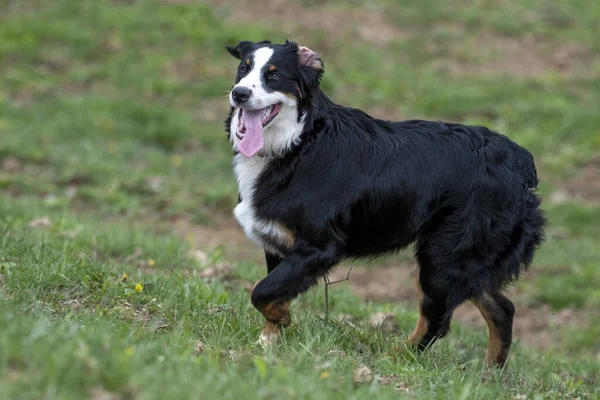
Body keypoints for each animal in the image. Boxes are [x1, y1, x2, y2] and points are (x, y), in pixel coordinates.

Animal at [224, 39, 544, 366]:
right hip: (469, 262)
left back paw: (398, 357)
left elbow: (261, 291)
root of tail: (519, 160)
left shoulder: (319, 247)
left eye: (274, 76)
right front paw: (268, 341)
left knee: (436, 319)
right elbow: (271, 290)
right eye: (243, 69)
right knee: (502, 310)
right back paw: (490, 370)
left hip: (444, 257)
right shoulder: (276, 242)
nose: (239, 93)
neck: (297, 144)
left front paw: (281, 322)